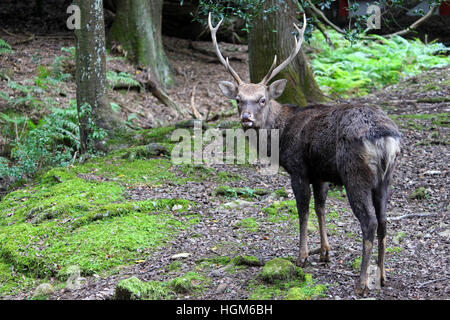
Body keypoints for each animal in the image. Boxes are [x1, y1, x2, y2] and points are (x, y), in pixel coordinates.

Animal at [207, 12, 400, 296]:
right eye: (238, 99)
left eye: (262, 99)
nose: (246, 118)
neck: (280, 136)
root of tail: (385, 137)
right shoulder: (320, 173)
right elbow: (321, 207)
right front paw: (325, 252)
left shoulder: (298, 168)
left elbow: (303, 211)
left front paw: (302, 257)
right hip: (386, 178)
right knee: (385, 220)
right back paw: (384, 276)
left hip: (355, 174)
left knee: (370, 222)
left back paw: (362, 283)